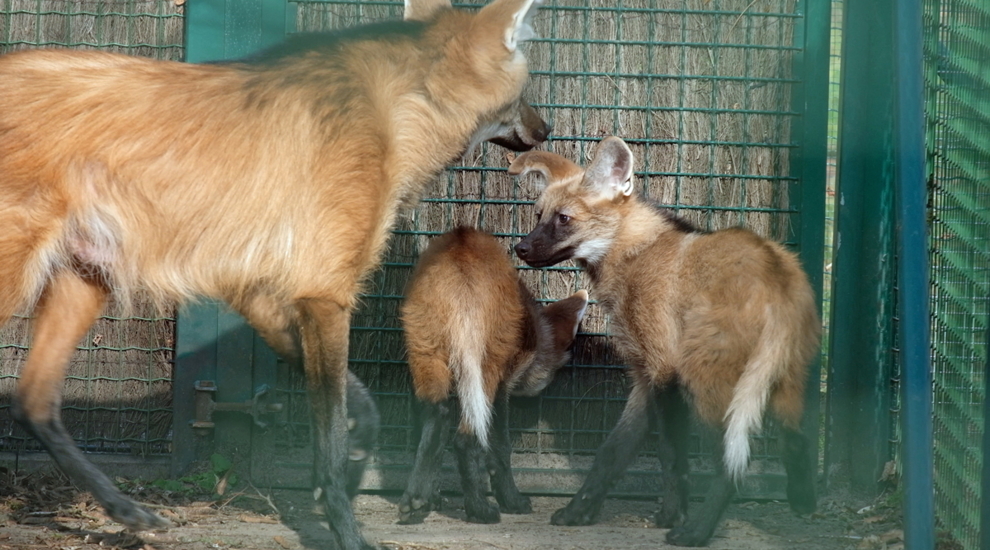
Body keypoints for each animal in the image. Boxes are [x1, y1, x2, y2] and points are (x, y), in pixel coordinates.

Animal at [0, 1, 556, 548]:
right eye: (525, 92)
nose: (547, 128)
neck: (401, 110)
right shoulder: (325, 295)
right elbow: (330, 436)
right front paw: (347, 529)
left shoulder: (266, 294)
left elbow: (359, 405)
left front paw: (358, 462)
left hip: (86, 275)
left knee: (32, 401)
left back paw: (129, 512)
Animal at [402, 227, 588, 528]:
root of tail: (461, 245)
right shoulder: (503, 380)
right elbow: (500, 446)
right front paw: (512, 500)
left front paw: (429, 498)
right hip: (485, 361)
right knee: (465, 439)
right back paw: (480, 509)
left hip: (425, 348)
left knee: (436, 415)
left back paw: (413, 503)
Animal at [512, 137, 820, 548]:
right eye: (538, 216)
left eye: (563, 219)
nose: (520, 248)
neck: (635, 255)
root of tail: (775, 275)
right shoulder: (645, 374)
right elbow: (611, 451)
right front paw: (578, 512)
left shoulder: (664, 370)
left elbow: (671, 454)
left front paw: (673, 515)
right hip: (782, 379)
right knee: (796, 439)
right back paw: (803, 502)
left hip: (705, 381)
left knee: (731, 460)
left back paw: (696, 531)